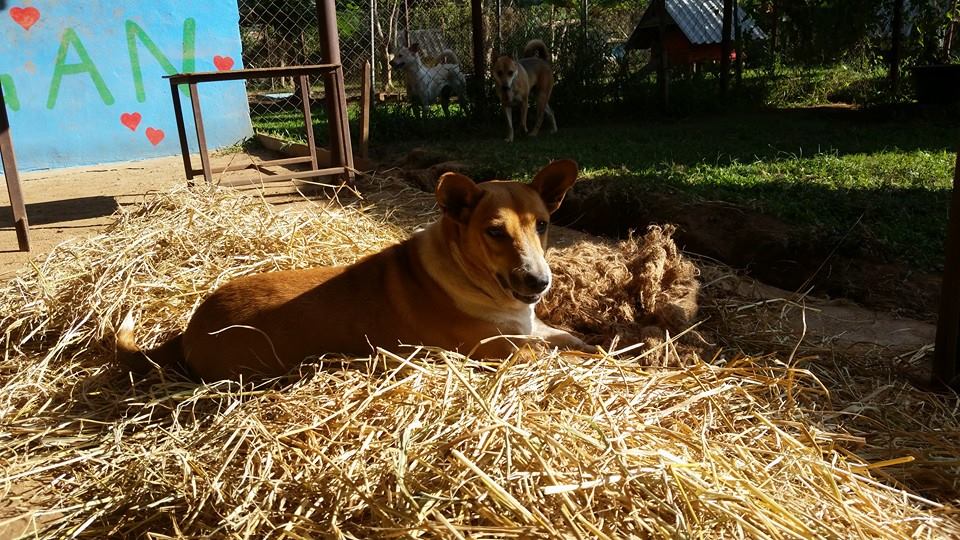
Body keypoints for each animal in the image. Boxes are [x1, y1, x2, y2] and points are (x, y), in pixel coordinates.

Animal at [116, 160, 595, 381]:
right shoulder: (500, 350)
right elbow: (558, 354)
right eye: (495, 232)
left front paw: (592, 342)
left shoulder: (530, 327)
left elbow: (568, 338)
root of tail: (189, 330)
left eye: (543, 225)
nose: (539, 282)